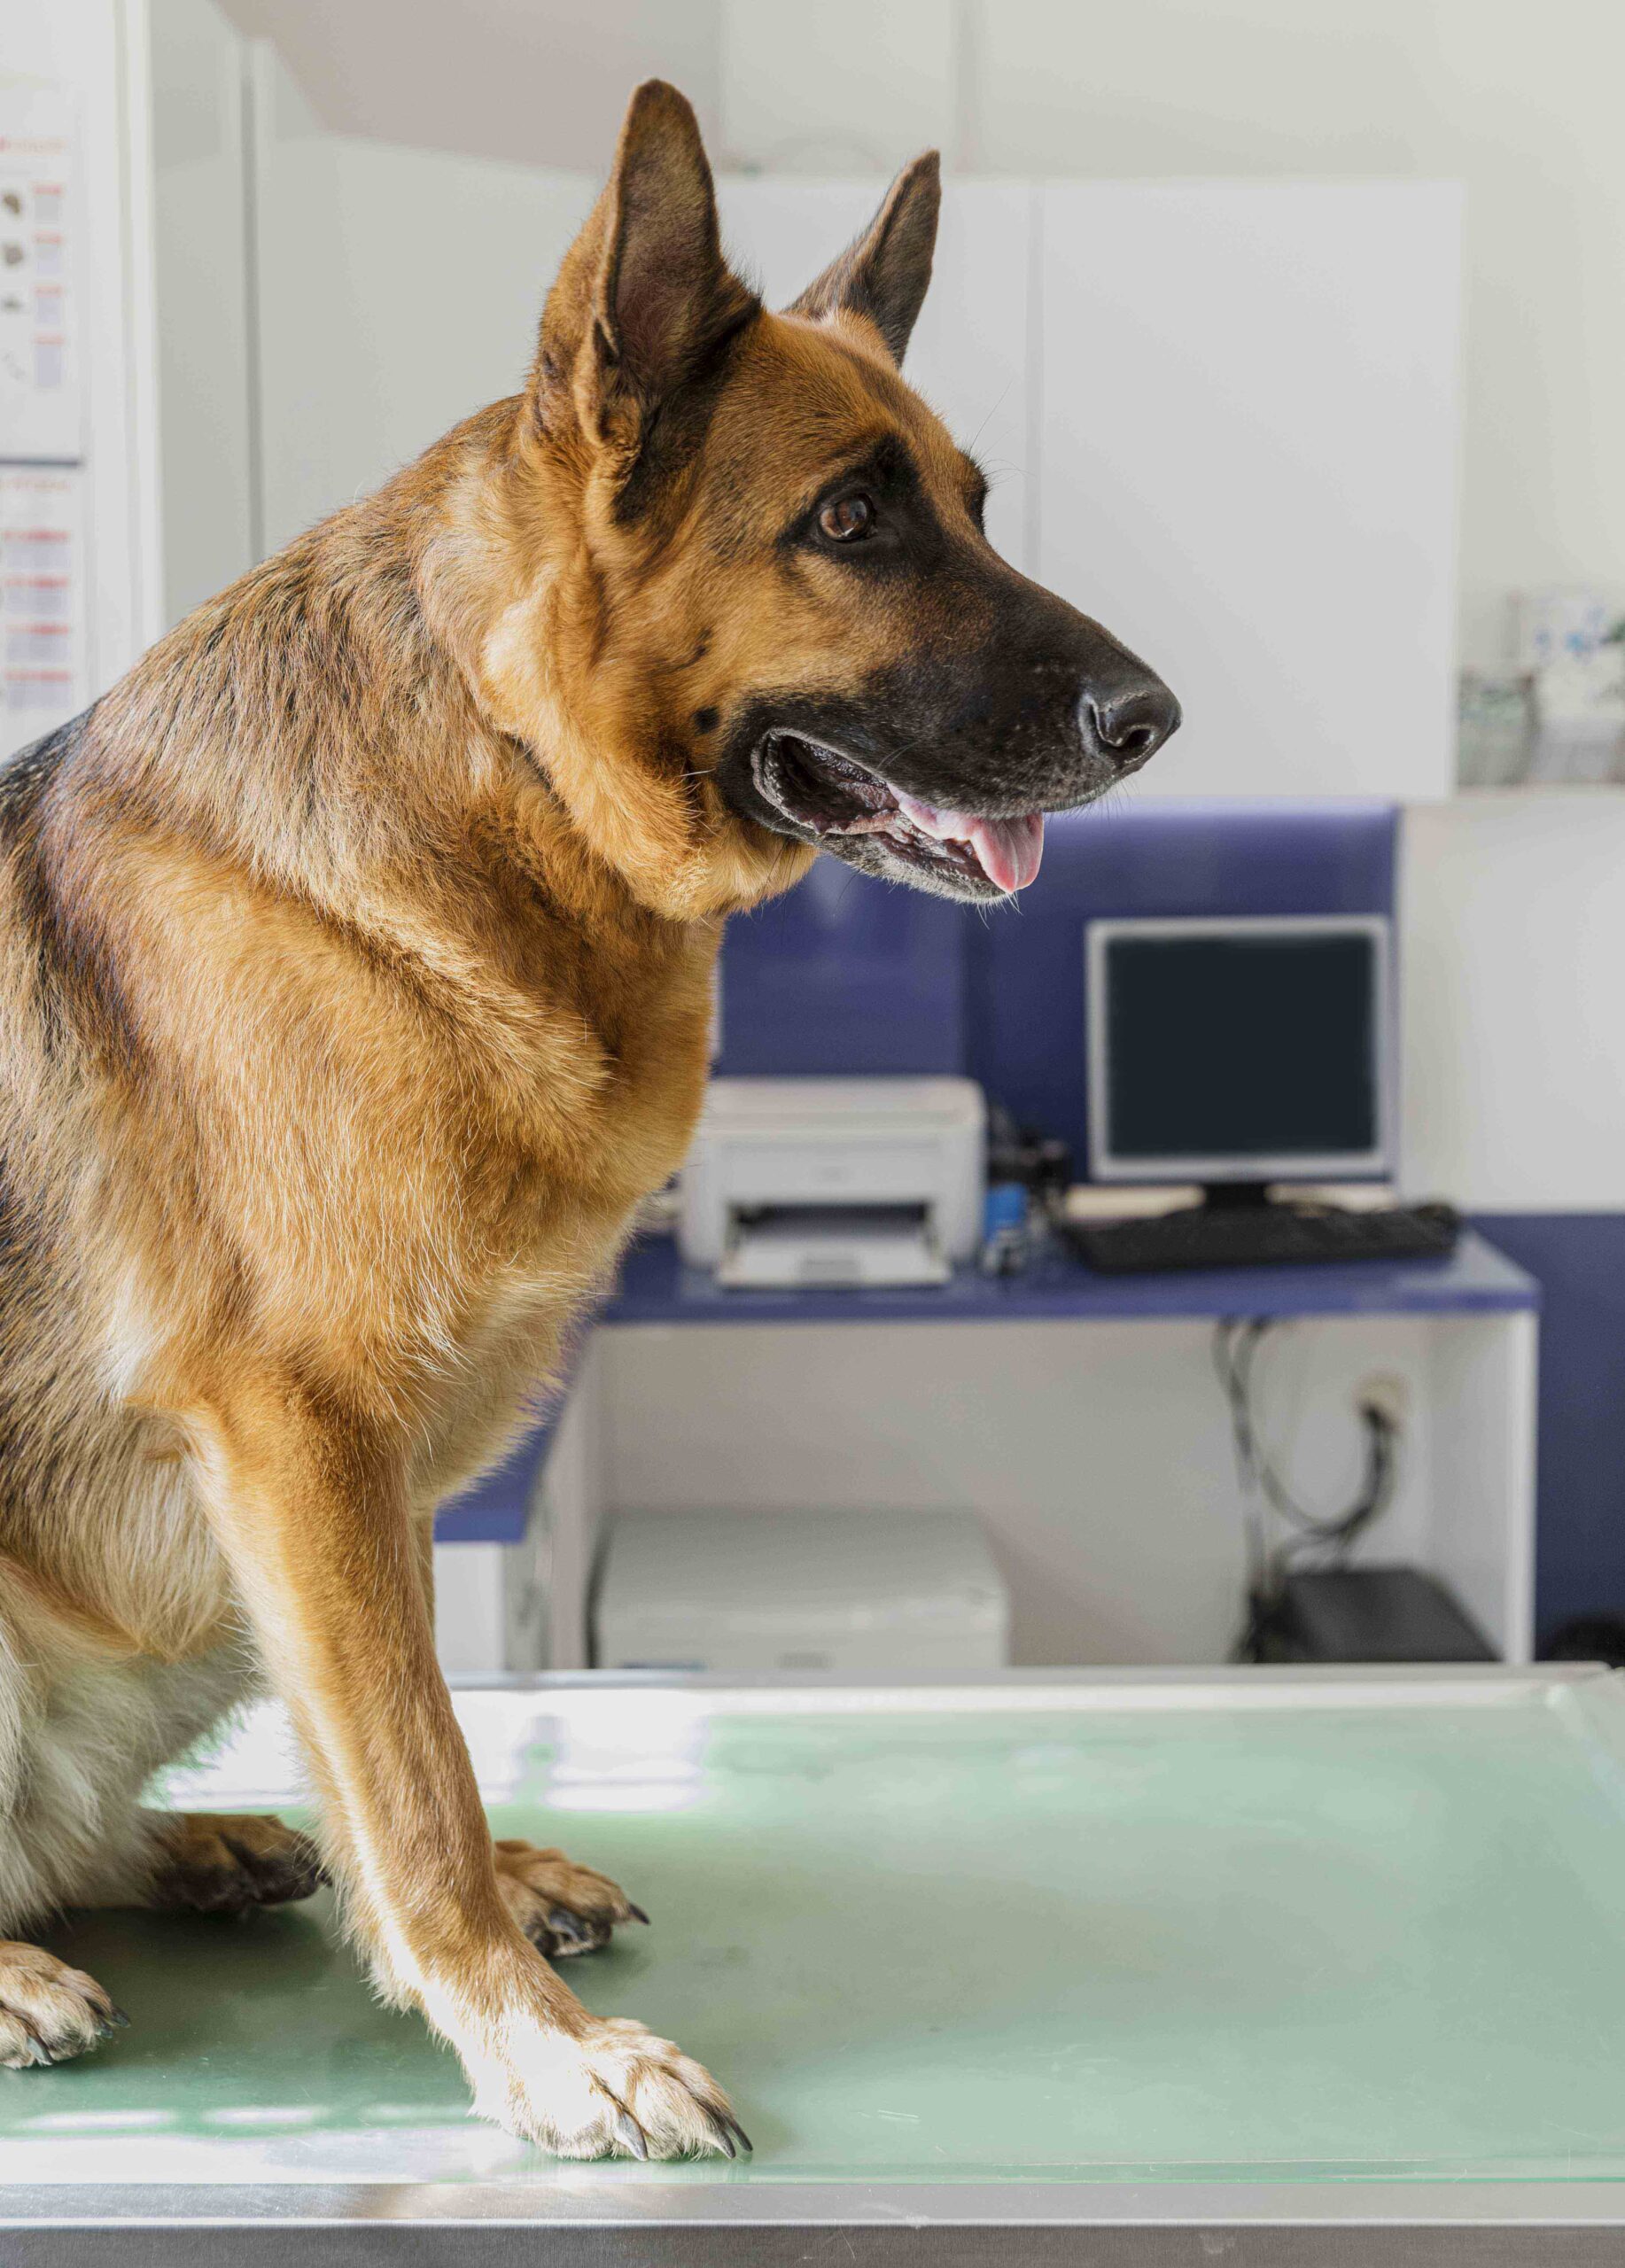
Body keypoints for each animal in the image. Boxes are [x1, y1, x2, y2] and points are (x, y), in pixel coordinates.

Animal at [0, 80, 1170, 2149]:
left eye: (972, 506)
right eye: (847, 521)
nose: (1159, 715)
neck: (505, 771)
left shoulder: (345, 1497)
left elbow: (407, 1731)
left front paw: (491, 1926)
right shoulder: (303, 1434)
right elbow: (410, 1763)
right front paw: (536, 2039)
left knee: (83, 1827)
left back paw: (203, 1844)